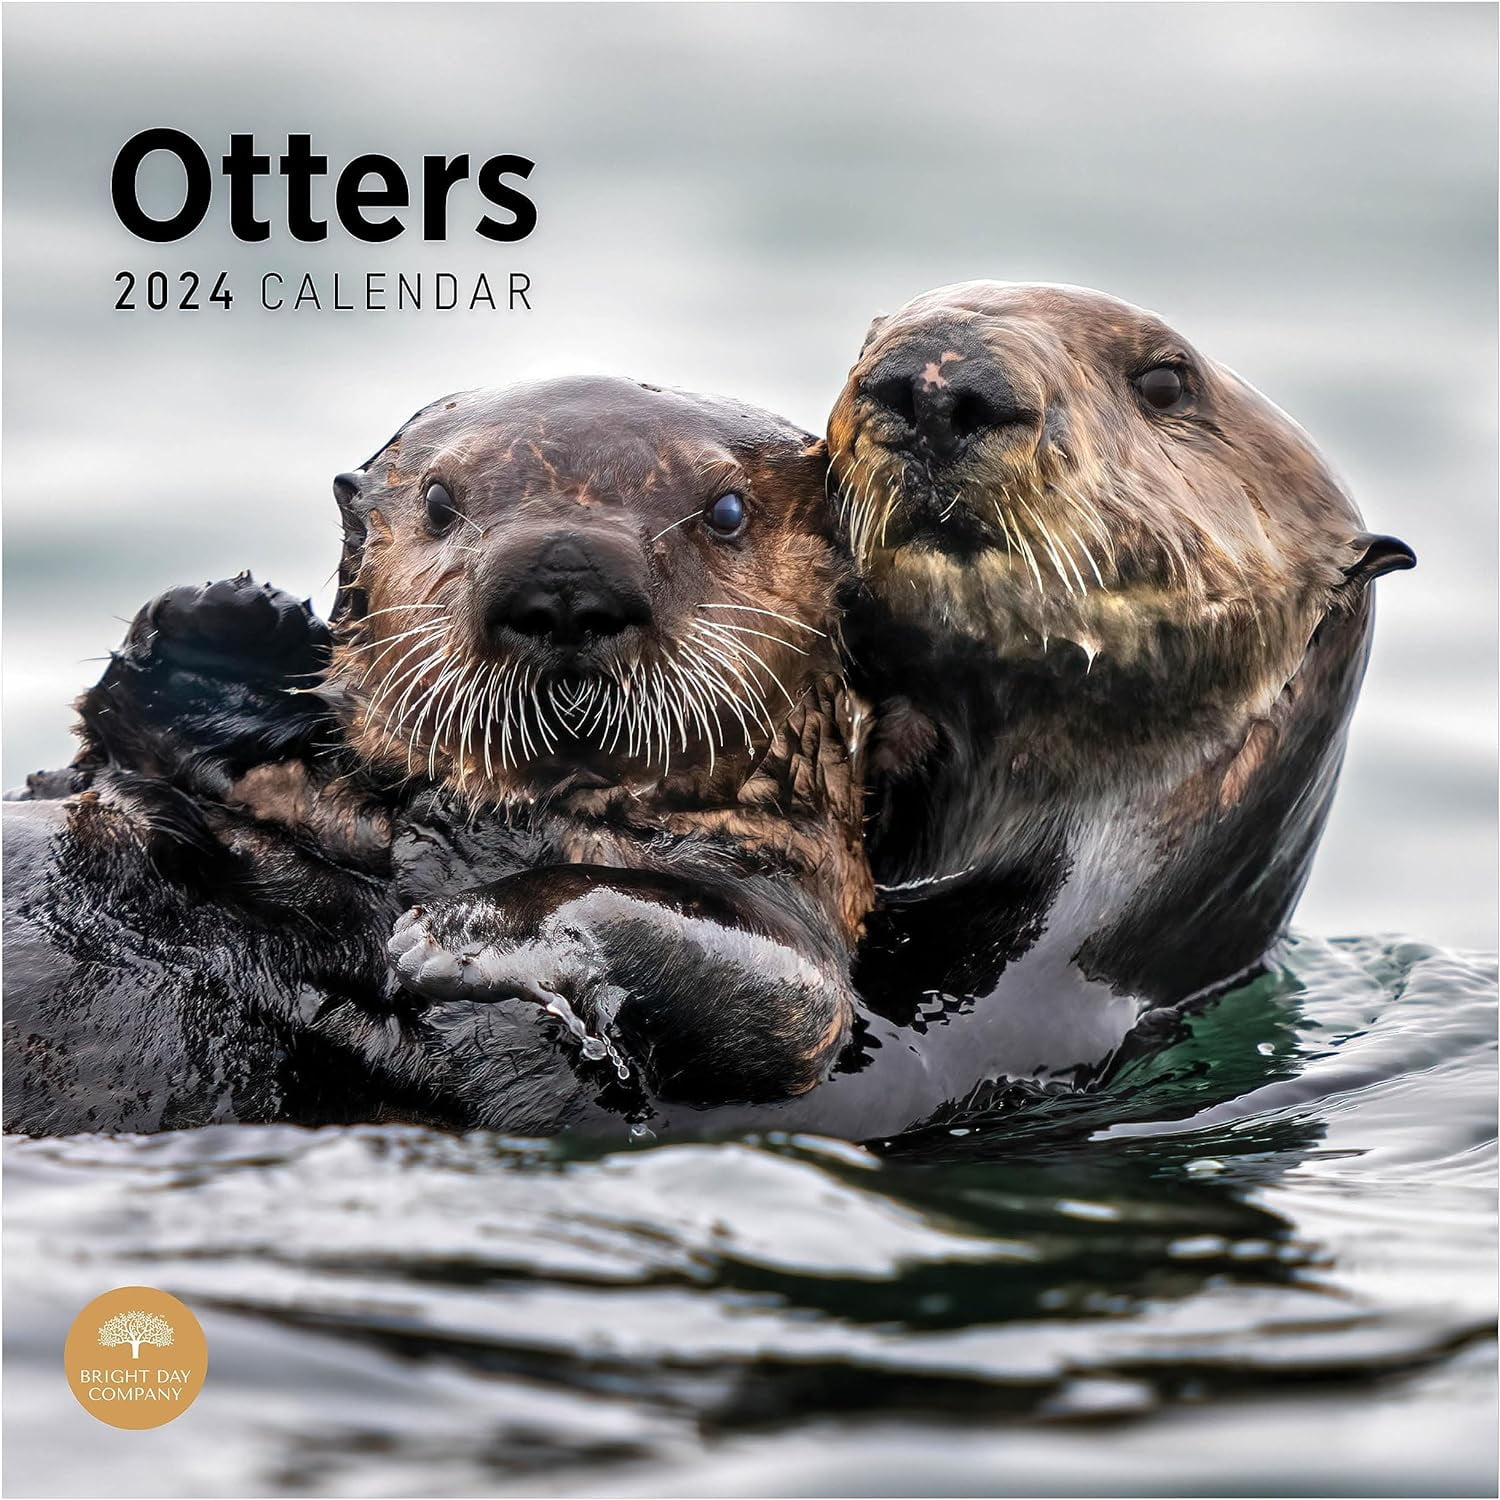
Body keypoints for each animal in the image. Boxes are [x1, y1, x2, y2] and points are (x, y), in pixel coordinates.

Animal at [3, 379, 871, 1135]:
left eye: (726, 511)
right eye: (438, 501)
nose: (565, 576)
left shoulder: (785, 892)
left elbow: (777, 996)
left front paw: (456, 933)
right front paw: (224, 633)